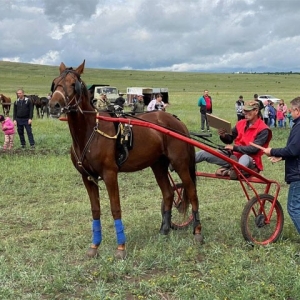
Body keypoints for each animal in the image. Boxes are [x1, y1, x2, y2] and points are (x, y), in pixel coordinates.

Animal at [49, 60, 203, 258]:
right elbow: (95, 210)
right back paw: (164, 229)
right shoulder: (87, 178)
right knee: (168, 193)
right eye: (55, 83)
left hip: (181, 164)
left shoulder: (110, 174)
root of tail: (175, 121)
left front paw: (121, 247)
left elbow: (115, 208)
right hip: (158, 165)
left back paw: (197, 231)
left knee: (192, 192)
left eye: (73, 84)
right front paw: (94, 246)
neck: (90, 133)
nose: (54, 105)